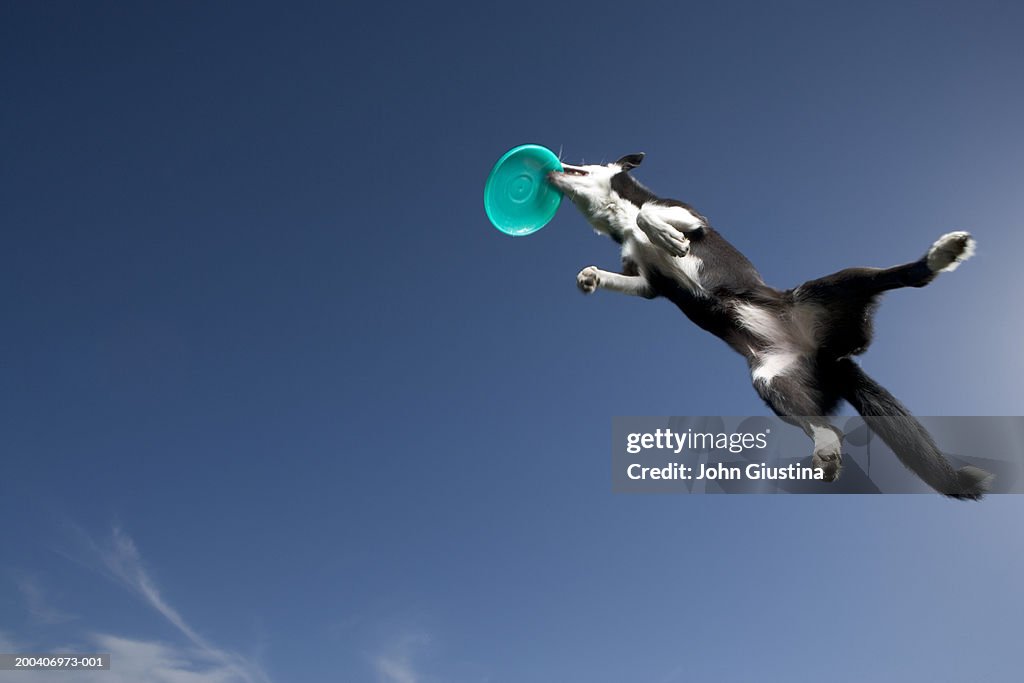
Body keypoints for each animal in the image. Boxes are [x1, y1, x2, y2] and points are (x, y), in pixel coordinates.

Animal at [552, 152, 991, 499]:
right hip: (773, 380)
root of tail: (822, 354)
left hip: (835, 286)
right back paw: (827, 452)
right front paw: (589, 276)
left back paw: (942, 253)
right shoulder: (646, 282)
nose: (551, 164)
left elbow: (650, 215)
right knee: (820, 424)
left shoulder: (689, 215)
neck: (618, 217)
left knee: (906, 276)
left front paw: (664, 235)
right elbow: (626, 277)